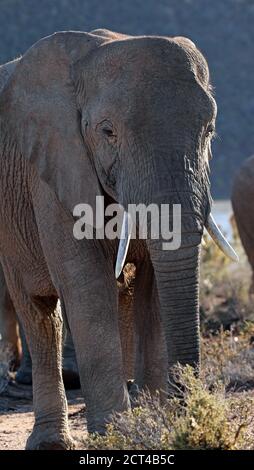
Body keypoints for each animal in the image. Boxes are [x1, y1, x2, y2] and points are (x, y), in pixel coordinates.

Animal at [0, 28, 236, 448]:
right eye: (108, 132)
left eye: (209, 131)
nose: (190, 411)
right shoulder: (54, 165)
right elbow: (86, 283)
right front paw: (117, 434)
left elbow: (152, 286)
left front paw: (152, 423)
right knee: (39, 310)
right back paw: (51, 442)